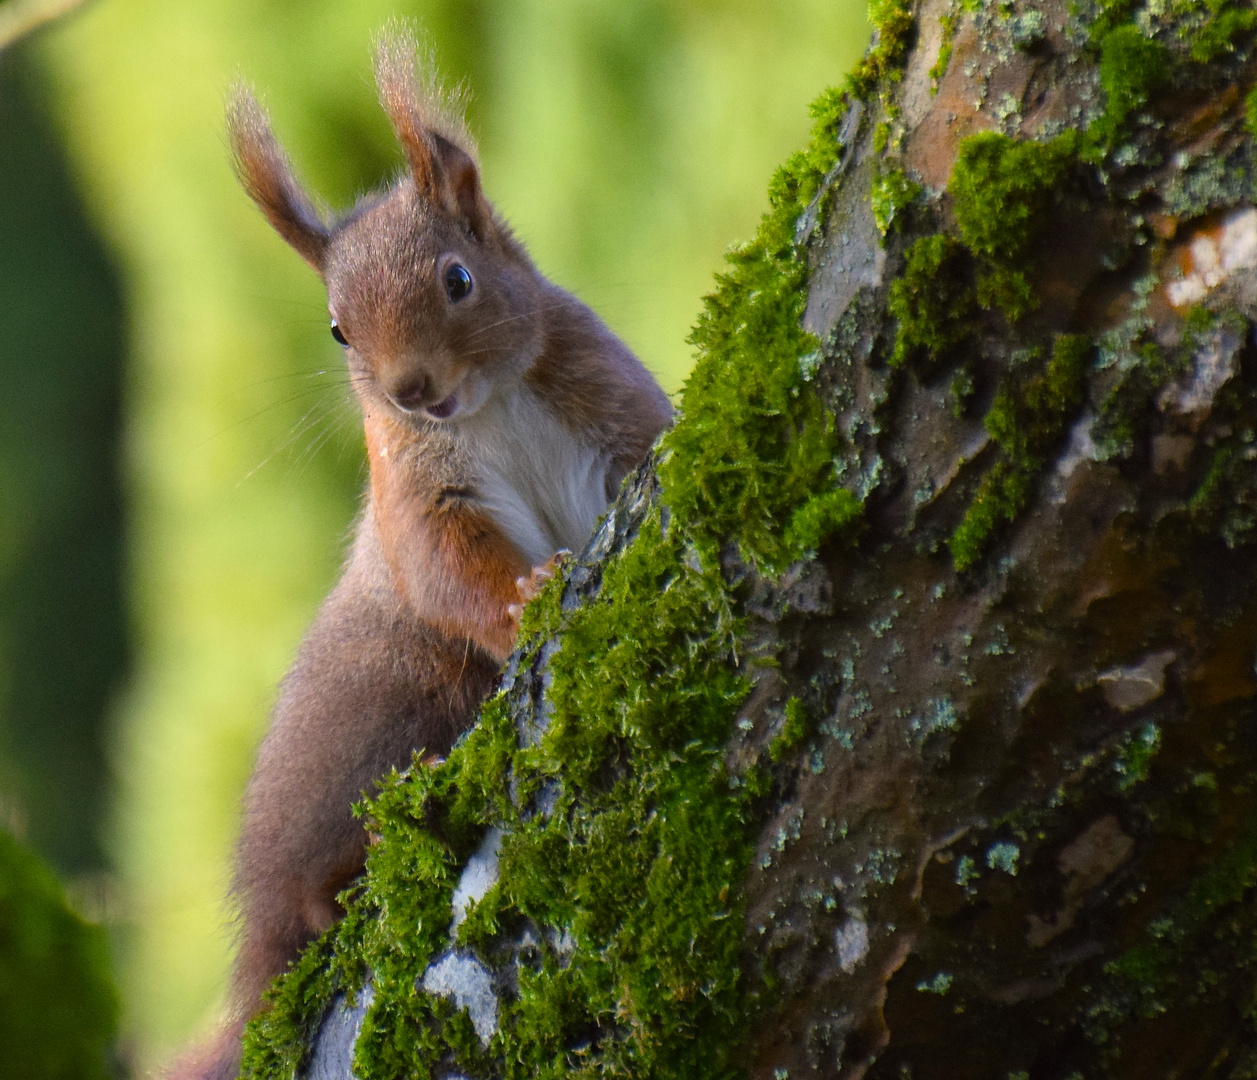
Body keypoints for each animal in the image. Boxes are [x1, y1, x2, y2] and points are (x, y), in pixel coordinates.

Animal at [174, 29, 678, 1076]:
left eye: (457, 279)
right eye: (337, 328)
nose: (410, 387)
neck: (482, 406)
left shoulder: (606, 401)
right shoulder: (416, 493)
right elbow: (448, 568)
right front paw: (528, 599)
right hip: (384, 694)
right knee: (310, 899)